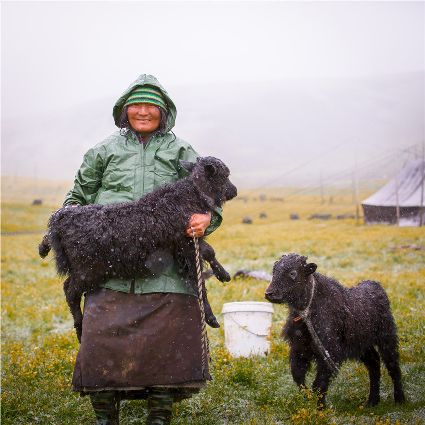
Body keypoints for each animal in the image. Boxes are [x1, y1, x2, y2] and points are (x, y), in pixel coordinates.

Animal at [40, 156, 237, 341]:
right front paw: (211, 315)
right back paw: (80, 328)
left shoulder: (187, 240)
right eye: (225, 175)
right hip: (87, 269)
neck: (188, 196)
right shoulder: (185, 244)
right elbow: (200, 276)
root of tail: (60, 220)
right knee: (70, 291)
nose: (234, 191)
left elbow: (207, 255)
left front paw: (223, 275)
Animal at [265, 253, 405, 407]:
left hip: (386, 337)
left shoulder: (329, 351)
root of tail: (376, 285)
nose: (269, 293)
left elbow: (319, 382)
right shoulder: (299, 347)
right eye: (274, 271)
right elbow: (298, 376)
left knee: (393, 365)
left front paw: (320, 408)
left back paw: (400, 400)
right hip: (362, 345)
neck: (308, 311)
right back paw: (372, 401)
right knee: (374, 363)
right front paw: (308, 397)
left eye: (292, 273)